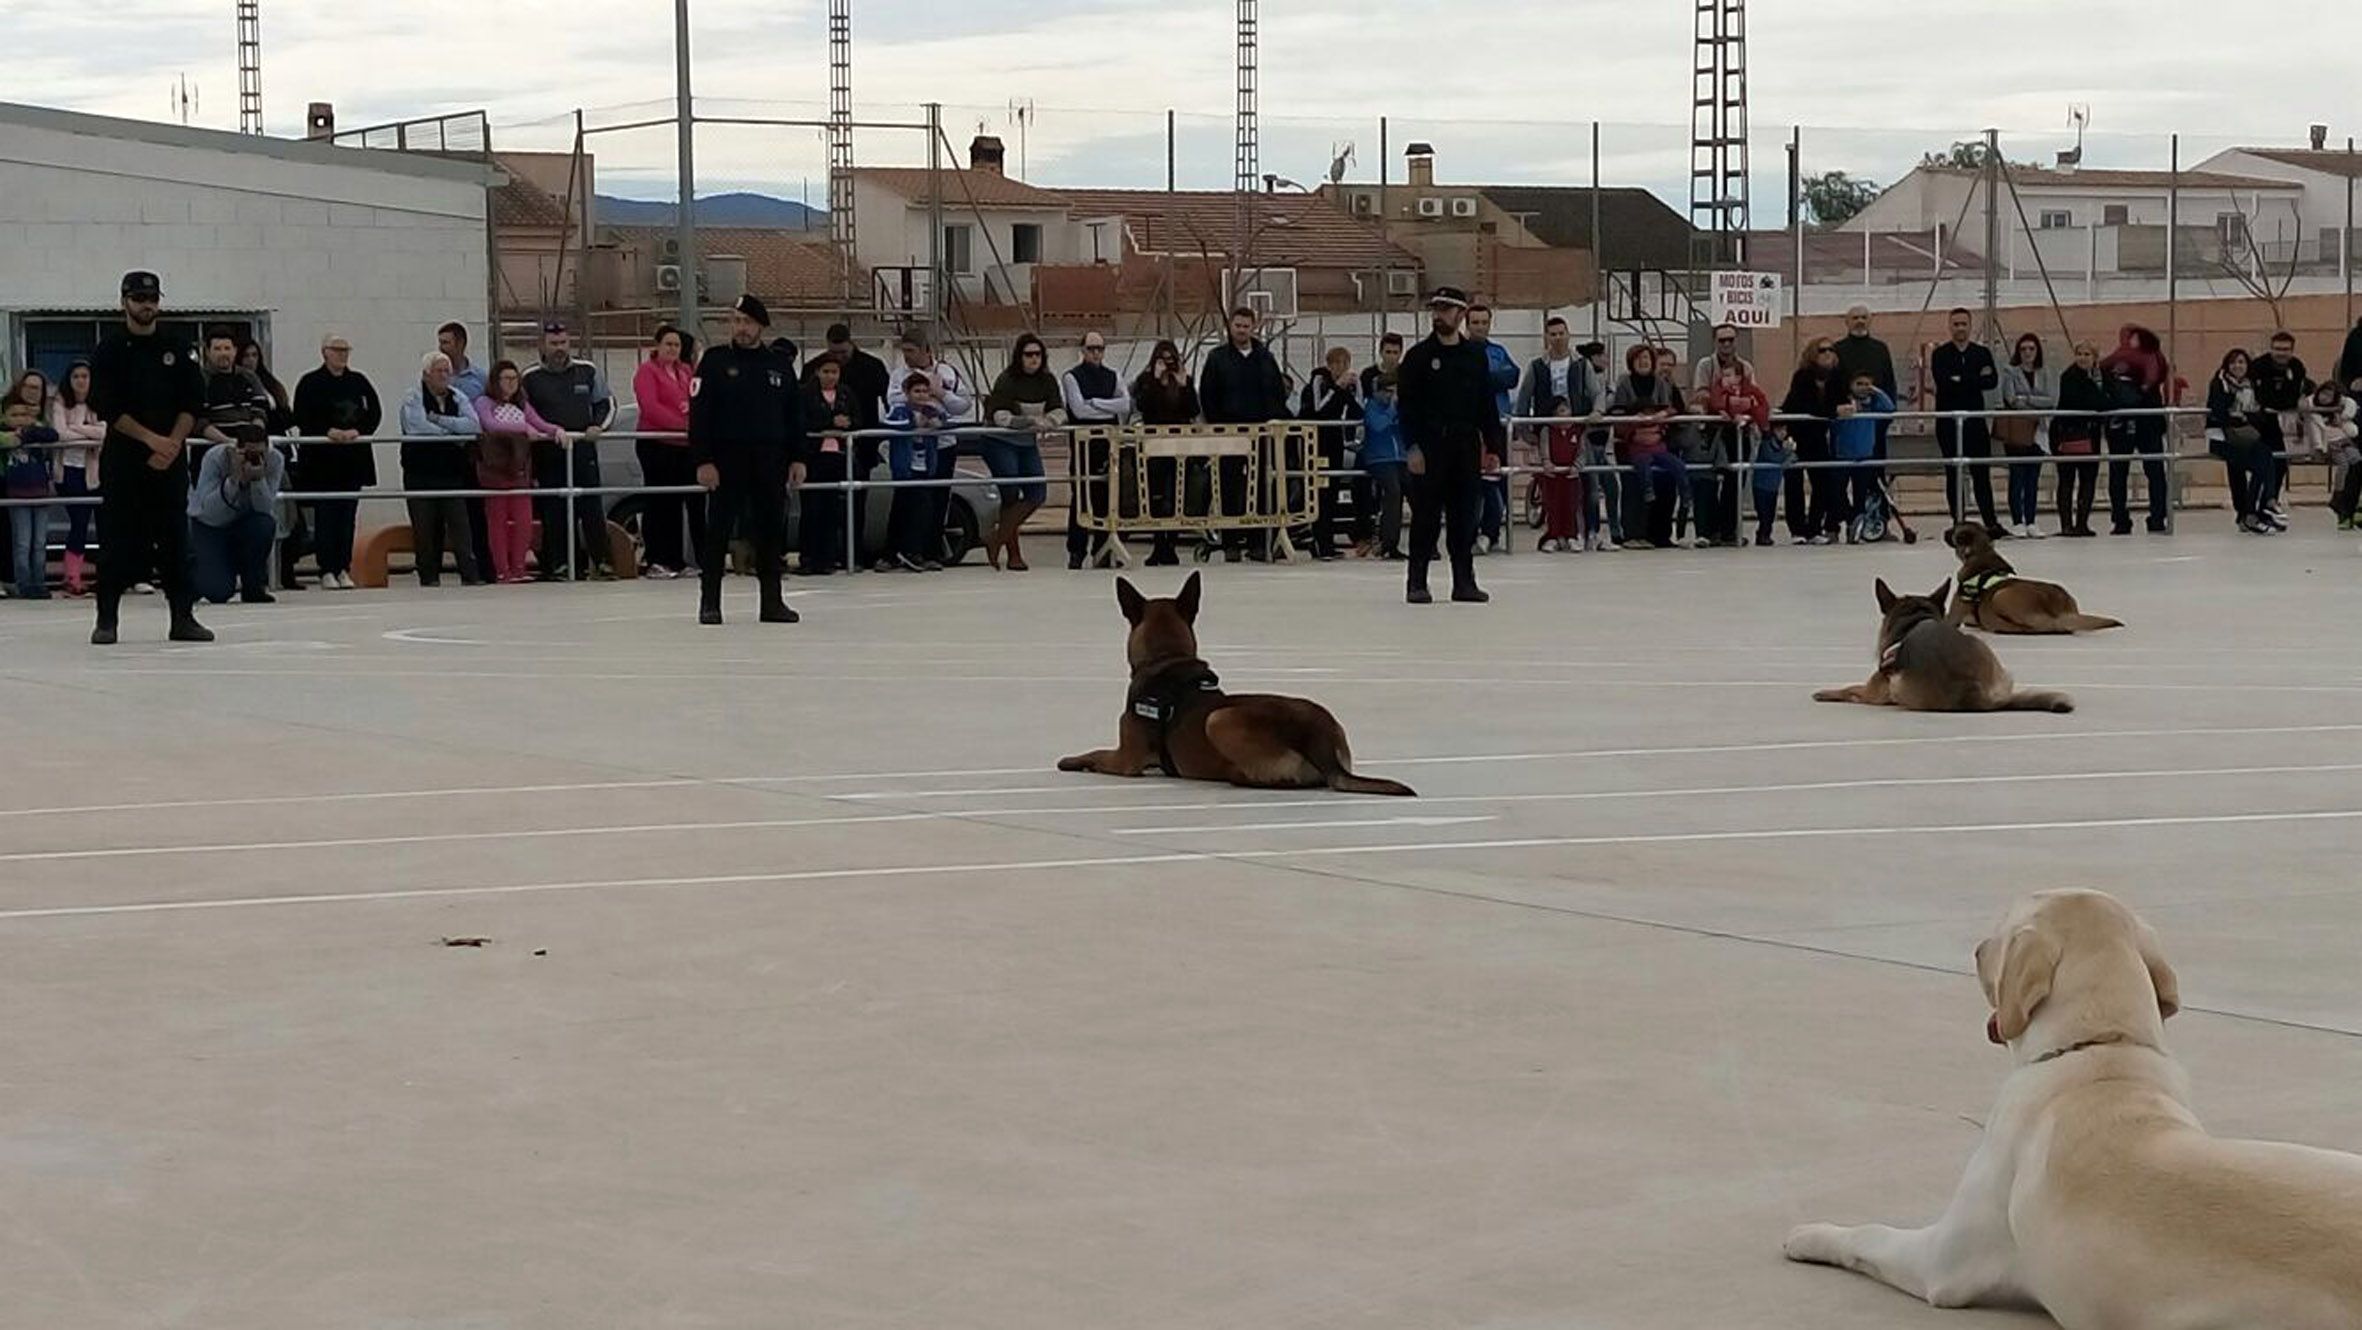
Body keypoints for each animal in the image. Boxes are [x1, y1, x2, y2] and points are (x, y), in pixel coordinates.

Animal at [1785, 888, 2362, 1322]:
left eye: (1996, 939)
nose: (1975, 948)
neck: (2103, 1048)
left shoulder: (1941, 1262)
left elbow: (1870, 1234)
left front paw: (1811, 1235)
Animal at [1946, 522, 2135, 637]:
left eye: (1954, 528)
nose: (1945, 531)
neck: (1982, 555)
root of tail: (2060, 611)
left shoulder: (1953, 617)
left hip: (2001, 596)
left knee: (2042, 627)